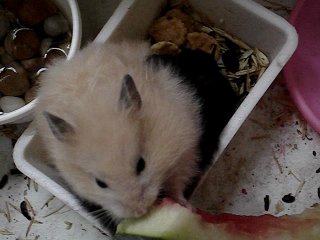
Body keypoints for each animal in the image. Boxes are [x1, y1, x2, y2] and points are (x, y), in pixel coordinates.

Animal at [34, 41, 202, 221]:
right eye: (100, 183)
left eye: (141, 164)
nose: (140, 211)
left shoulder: (184, 149)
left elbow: (178, 183)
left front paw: (188, 207)